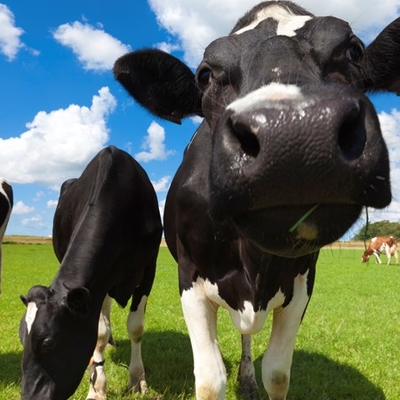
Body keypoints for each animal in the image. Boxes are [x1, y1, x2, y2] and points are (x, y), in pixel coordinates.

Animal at [18, 146, 162, 400]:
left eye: (48, 342)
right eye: (21, 338)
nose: (29, 397)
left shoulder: (148, 270)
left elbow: (136, 327)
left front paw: (137, 380)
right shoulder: (99, 284)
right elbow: (99, 332)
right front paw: (97, 387)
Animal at [112, 1, 396, 398]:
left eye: (354, 51)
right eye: (205, 75)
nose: (293, 133)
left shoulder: (302, 282)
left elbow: (276, 373)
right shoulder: (189, 277)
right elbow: (210, 380)